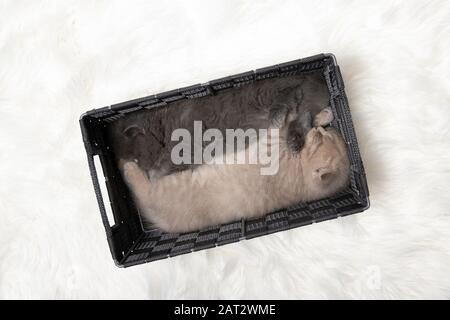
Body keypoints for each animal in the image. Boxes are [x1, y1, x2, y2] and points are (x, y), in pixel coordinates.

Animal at [120, 109, 352, 232]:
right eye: (325, 135)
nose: (321, 130)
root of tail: (161, 224)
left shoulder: (273, 143)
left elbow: (283, 125)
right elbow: (297, 125)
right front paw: (323, 116)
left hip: (161, 187)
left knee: (144, 187)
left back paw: (128, 166)